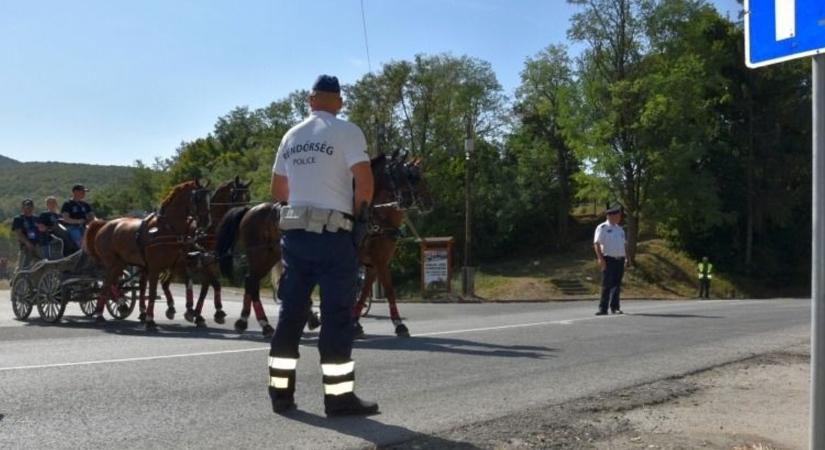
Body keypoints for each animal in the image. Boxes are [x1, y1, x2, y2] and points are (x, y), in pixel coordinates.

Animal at [83, 180, 211, 330]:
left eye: (209, 197)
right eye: (197, 198)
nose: (206, 222)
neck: (167, 228)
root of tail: (104, 224)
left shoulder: (178, 265)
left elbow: (188, 282)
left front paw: (191, 311)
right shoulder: (155, 268)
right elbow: (153, 292)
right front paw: (150, 320)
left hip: (121, 264)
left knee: (115, 284)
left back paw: (119, 306)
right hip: (113, 264)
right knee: (107, 285)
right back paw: (100, 314)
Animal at [155, 176, 251, 326]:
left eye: (248, 197)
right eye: (235, 196)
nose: (244, 217)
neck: (209, 232)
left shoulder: (211, 266)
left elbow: (206, 290)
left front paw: (199, 315)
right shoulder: (205, 267)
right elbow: (215, 285)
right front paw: (215, 312)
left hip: (175, 265)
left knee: (165, 282)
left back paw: (171, 308)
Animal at [352, 153, 434, 336]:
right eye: (415, 178)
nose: (430, 203)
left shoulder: (373, 265)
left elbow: (364, 292)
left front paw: (355, 322)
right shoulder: (379, 262)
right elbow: (389, 290)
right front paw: (399, 323)